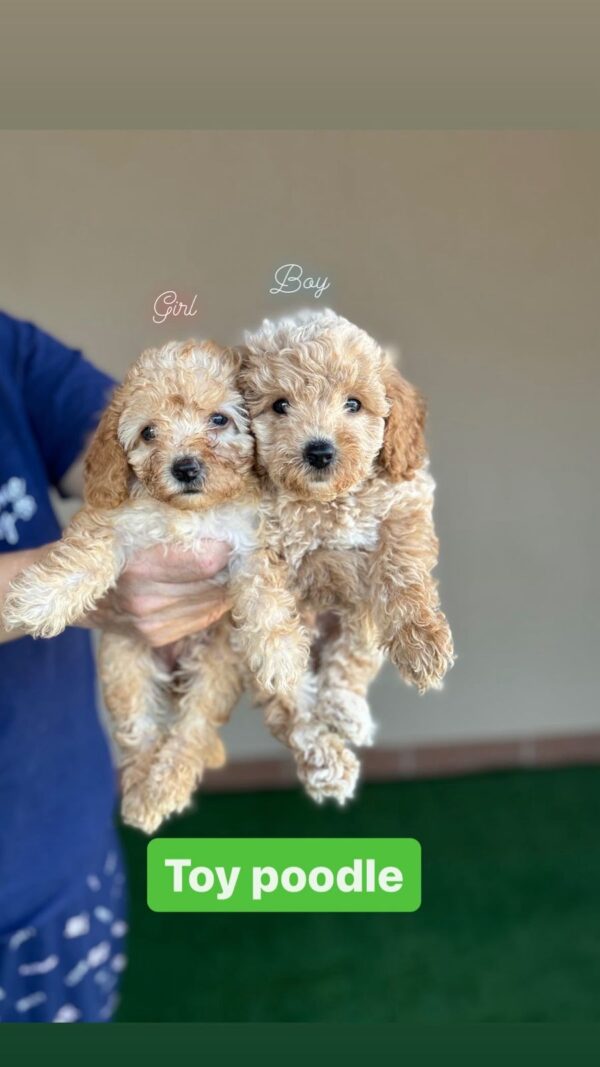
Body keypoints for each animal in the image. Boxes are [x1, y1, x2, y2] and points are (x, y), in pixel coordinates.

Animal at [2, 341, 305, 832]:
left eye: (219, 420)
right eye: (148, 433)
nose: (184, 468)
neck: (187, 512)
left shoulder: (252, 539)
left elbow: (265, 594)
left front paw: (279, 653)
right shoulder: (113, 521)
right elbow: (83, 557)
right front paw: (38, 599)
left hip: (217, 667)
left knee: (191, 731)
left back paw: (163, 787)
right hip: (123, 662)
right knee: (138, 731)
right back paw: (144, 792)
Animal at [238, 309, 452, 802]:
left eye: (353, 404)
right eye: (280, 405)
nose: (319, 451)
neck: (325, 503)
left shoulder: (404, 500)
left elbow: (402, 568)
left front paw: (423, 643)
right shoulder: (246, 532)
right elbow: (261, 591)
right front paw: (276, 653)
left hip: (359, 615)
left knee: (350, 660)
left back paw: (345, 711)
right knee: (292, 709)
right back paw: (327, 759)